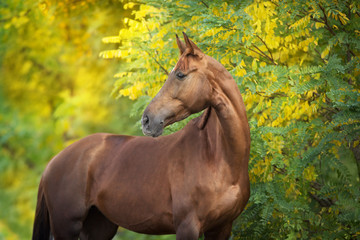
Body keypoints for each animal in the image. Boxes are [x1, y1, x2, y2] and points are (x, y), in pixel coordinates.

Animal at [33, 32, 250, 240]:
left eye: (180, 74)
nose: (146, 120)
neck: (216, 157)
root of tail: (52, 164)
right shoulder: (187, 226)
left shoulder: (221, 228)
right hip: (67, 228)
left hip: (98, 227)